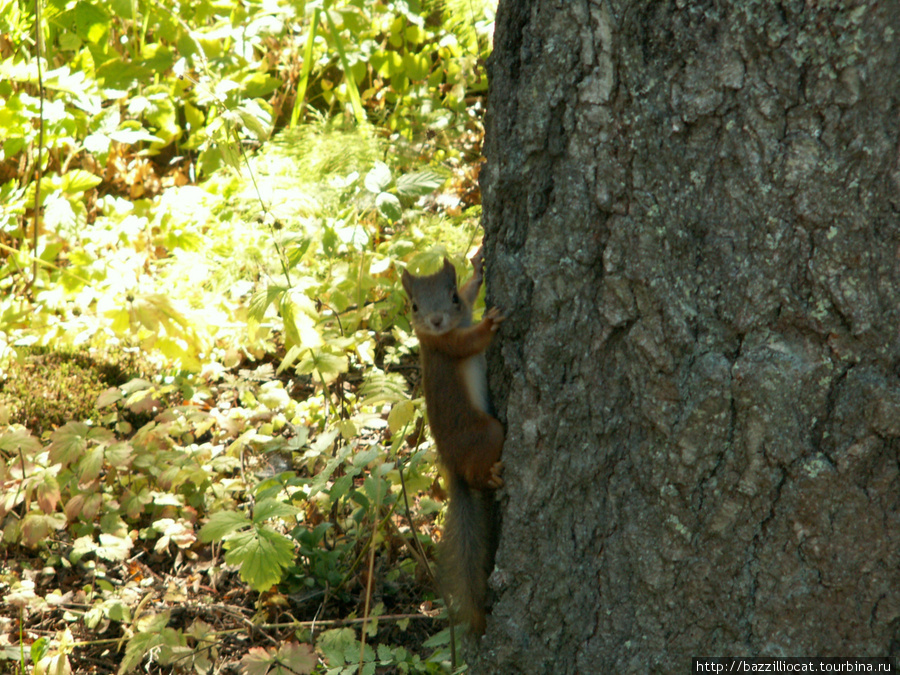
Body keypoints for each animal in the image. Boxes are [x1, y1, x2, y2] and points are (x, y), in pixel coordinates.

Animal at [400, 247, 506, 632]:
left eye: (453, 297)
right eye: (414, 305)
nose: (435, 320)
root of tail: (452, 466)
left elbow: (474, 293)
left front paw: (476, 268)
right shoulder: (448, 344)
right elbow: (472, 341)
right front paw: (490, 324)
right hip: (486, 433)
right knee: (479, 472)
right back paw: (491, 477)